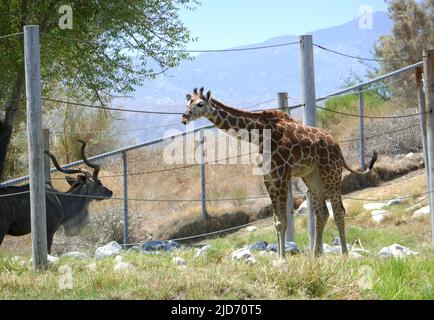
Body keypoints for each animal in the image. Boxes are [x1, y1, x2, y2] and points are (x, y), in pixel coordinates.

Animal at [181, 87, 376, 258]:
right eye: (187, 103)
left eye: (200, 103)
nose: (184, 117)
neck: (259, 135)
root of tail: (337, 147)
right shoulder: (268, 177)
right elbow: (277, 221)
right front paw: (280, 258)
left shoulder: (282, 175)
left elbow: (283, 221)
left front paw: (282, 260)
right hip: (312, 177)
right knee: (322, 213)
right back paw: (316, 255)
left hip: (331, 173)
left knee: (339, 211)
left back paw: (344, 255)